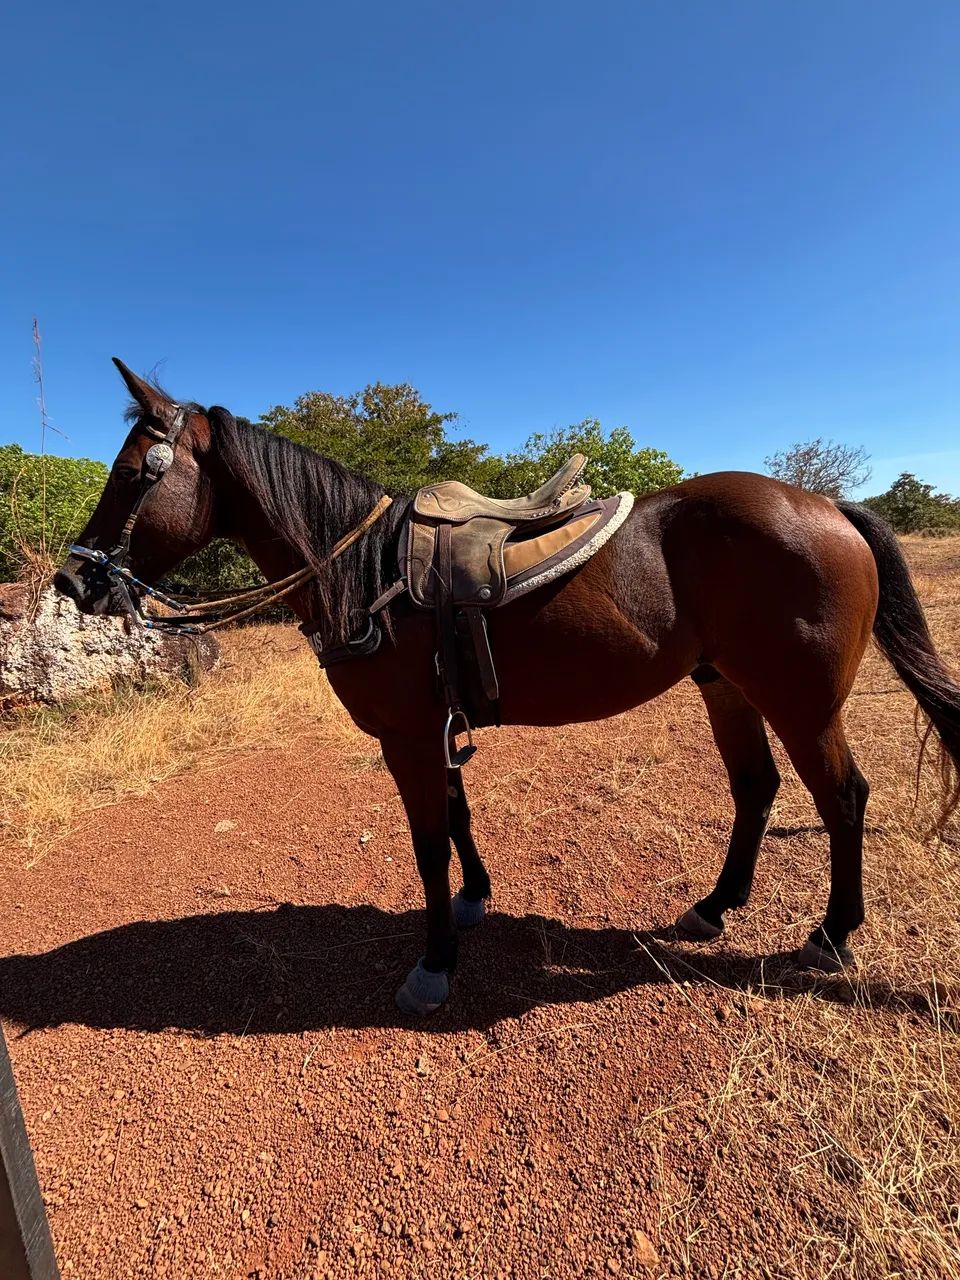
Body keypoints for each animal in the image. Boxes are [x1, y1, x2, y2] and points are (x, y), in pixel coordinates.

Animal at [55, 359, 960, 1015]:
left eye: (133, 474)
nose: (73, 581)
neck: (365, 570)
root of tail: (830, 506)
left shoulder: (407, 737)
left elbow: (426, 843)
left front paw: (433, 965)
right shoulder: (435, 726)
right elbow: (458, 820)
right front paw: (475, 901)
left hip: (801, 702)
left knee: (842, 796)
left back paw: (832, 936)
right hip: (726, 686)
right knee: (757, 788)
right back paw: (715, 905)